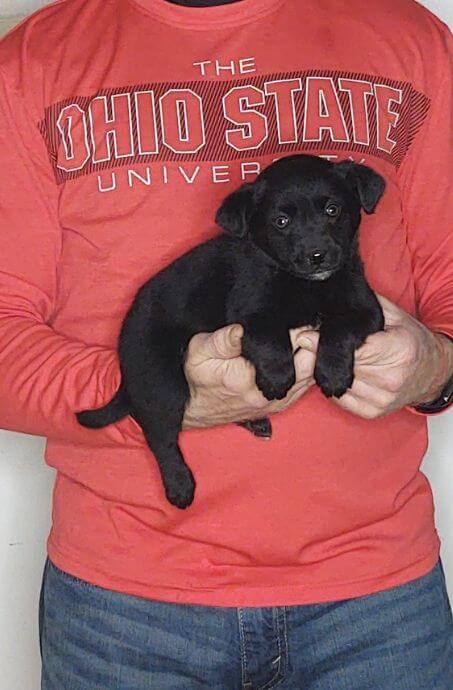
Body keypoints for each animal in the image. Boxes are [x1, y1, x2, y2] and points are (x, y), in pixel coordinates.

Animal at [77, 155, 384, 506]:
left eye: (333, 210)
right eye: (281, 221)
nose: (316, 256)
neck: (306, 286)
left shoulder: (367, 309)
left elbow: (339, 328)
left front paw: (332, 373)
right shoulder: (248, 312)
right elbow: (269, 337)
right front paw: (278, 377)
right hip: (162, 382)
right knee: (159, 436)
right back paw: (179, 485)